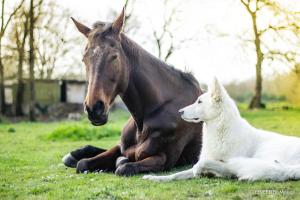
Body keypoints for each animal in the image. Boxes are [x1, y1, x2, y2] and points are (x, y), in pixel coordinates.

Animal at [63, 8, 204, 176]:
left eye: (114, 56)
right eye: (84, 59)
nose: (94, 108)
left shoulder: (163, 159)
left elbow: (123, 167)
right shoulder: (121, 148)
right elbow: (83, 163)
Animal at [142, 78, 300, 181]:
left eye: (199, 101)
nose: (180, 112)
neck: (220, 130)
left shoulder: (225, 163)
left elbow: (200, 165)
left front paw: (204, 171)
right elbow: (176, 174)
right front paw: (155, 178)